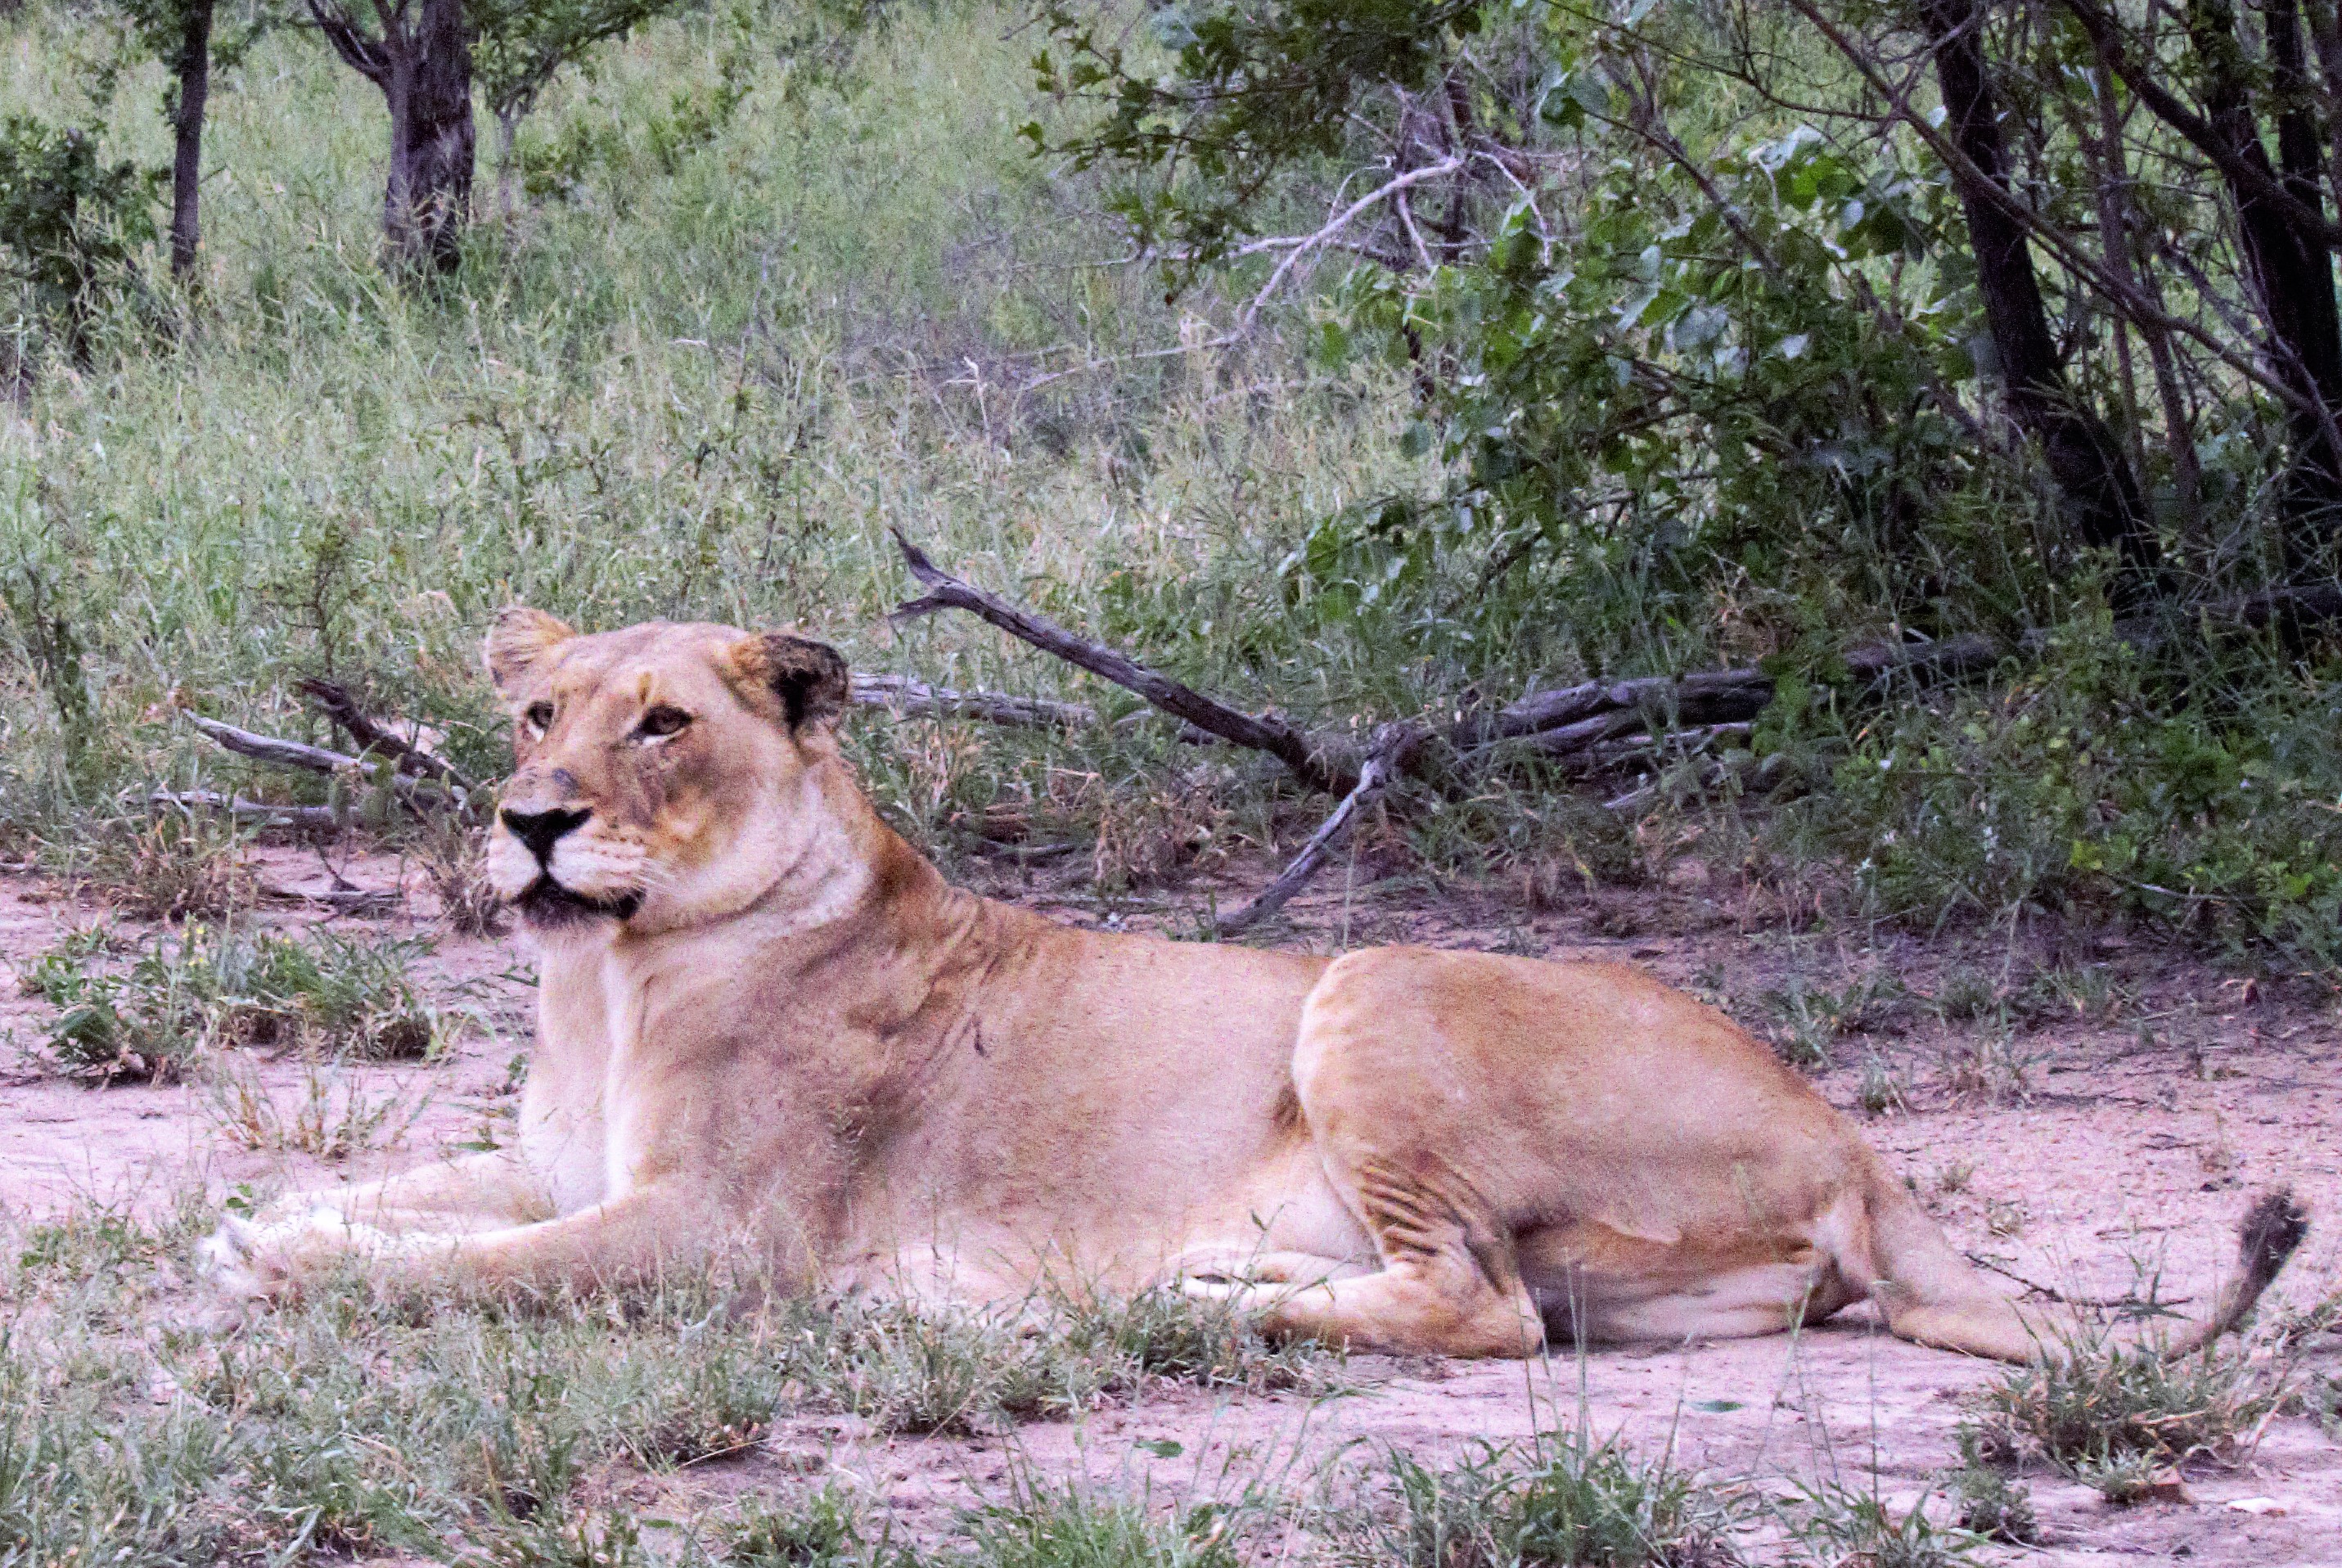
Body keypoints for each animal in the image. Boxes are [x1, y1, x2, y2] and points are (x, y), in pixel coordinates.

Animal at [203, 610, 2305, 1361]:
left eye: (660, 725)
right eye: (537, 712)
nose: (531, 819)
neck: (612, 975)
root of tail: (1856, 1140)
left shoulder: (718, 1231)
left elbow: (475, 1267)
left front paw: (301, 1268)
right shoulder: (560, 1167)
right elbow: (426, 1194)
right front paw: (260, 1224)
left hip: (1366, 984)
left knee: (1477, 1311)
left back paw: (1174, 1302)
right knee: (1490, 1299)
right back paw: (1198, 1287)